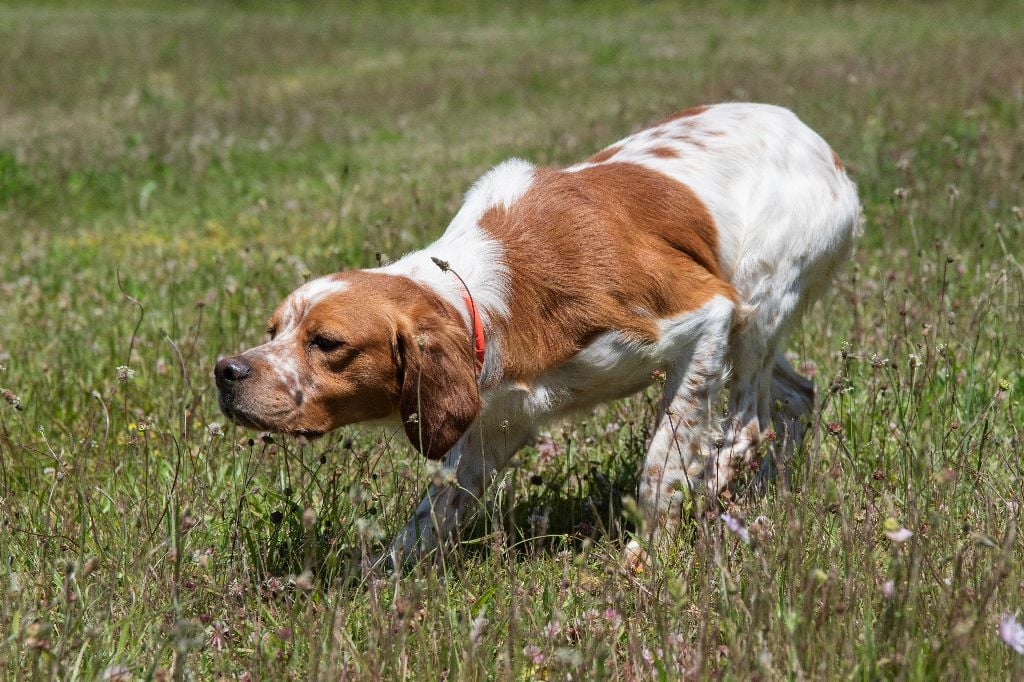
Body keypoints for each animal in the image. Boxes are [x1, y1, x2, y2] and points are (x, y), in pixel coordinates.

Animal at [218, 100, 864, 565]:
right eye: (274, 329)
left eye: (326, 343)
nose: (226, 371)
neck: (490, 298)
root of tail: (821, 144)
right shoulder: (493, 426)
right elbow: (427, 519)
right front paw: (376, 582)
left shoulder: (700, 313)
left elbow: (662, 461)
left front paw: (647, 555)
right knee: (797, 396)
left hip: (757, 299)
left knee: (750, 423)